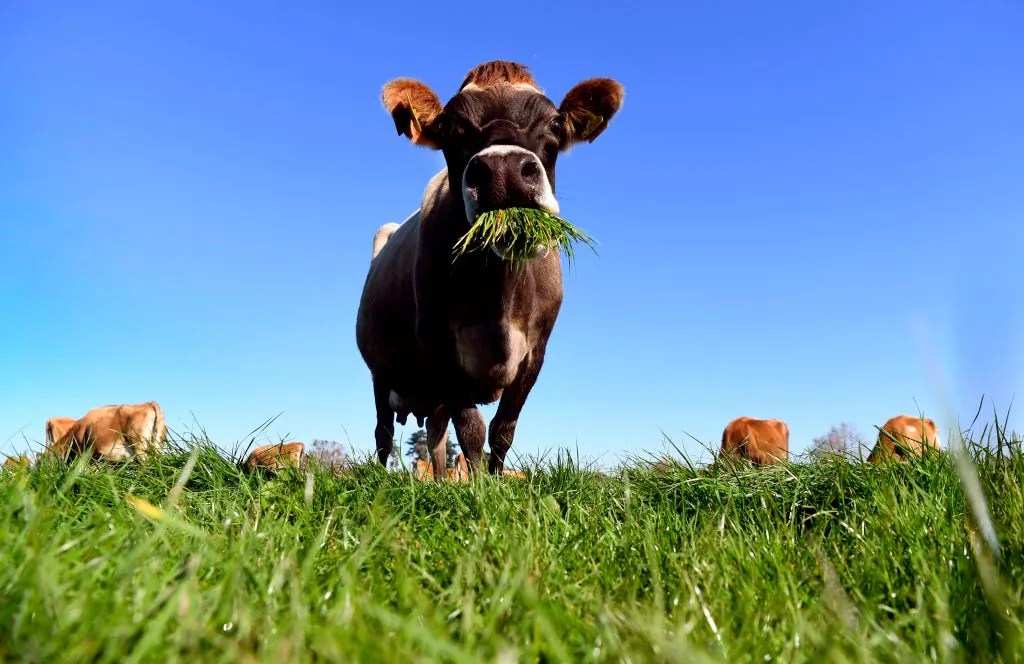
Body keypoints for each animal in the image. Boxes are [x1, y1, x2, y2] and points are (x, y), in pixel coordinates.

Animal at [356, 60, 624, 480]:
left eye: (554, 122)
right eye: (450, 127)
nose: (503, 170)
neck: (498, 295)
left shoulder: (535, 351)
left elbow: (502, 428)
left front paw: (496, 482)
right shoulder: (438, 342)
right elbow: (471, 427)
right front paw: (480, 485)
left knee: (435, 434)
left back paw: (440, 482)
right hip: (380, 371)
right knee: (383, 432)